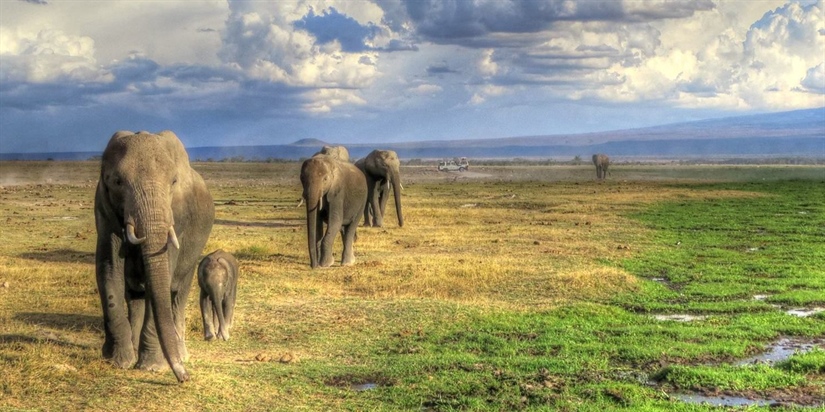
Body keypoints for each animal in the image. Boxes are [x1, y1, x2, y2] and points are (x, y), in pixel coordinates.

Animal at [93, 130, 216, 384]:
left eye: (174, 182)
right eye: (117, 182)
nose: (184, 378)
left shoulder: (178, 216)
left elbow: (162, 281)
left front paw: (151, 367)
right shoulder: (105, 210)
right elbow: (108, 271)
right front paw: (118, 361)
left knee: (178, 293)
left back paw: (181, 353)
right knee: (135, 296)